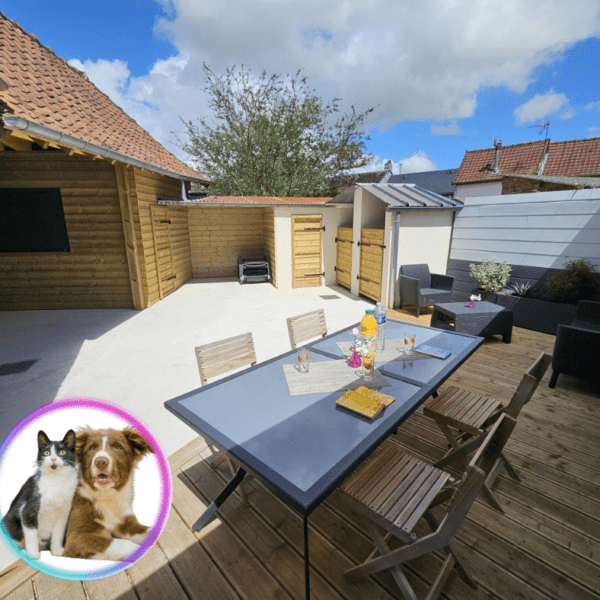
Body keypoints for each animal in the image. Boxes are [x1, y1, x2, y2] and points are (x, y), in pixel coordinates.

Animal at [2, 428, 77, 560]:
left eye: (62, 452)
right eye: (47, 453)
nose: (53, 459)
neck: (56, 482)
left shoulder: (63, 513)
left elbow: (58, 532)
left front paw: (57, 549)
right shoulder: (29, 508)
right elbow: (31, 533)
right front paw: (32, 553)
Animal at [61, 424, 154, 560]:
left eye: (117, 447)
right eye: (92, 448)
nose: (100, 462)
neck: (107, 495)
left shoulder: (125, 523)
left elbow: (150, 531)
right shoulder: (75, 538)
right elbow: (121, 545)